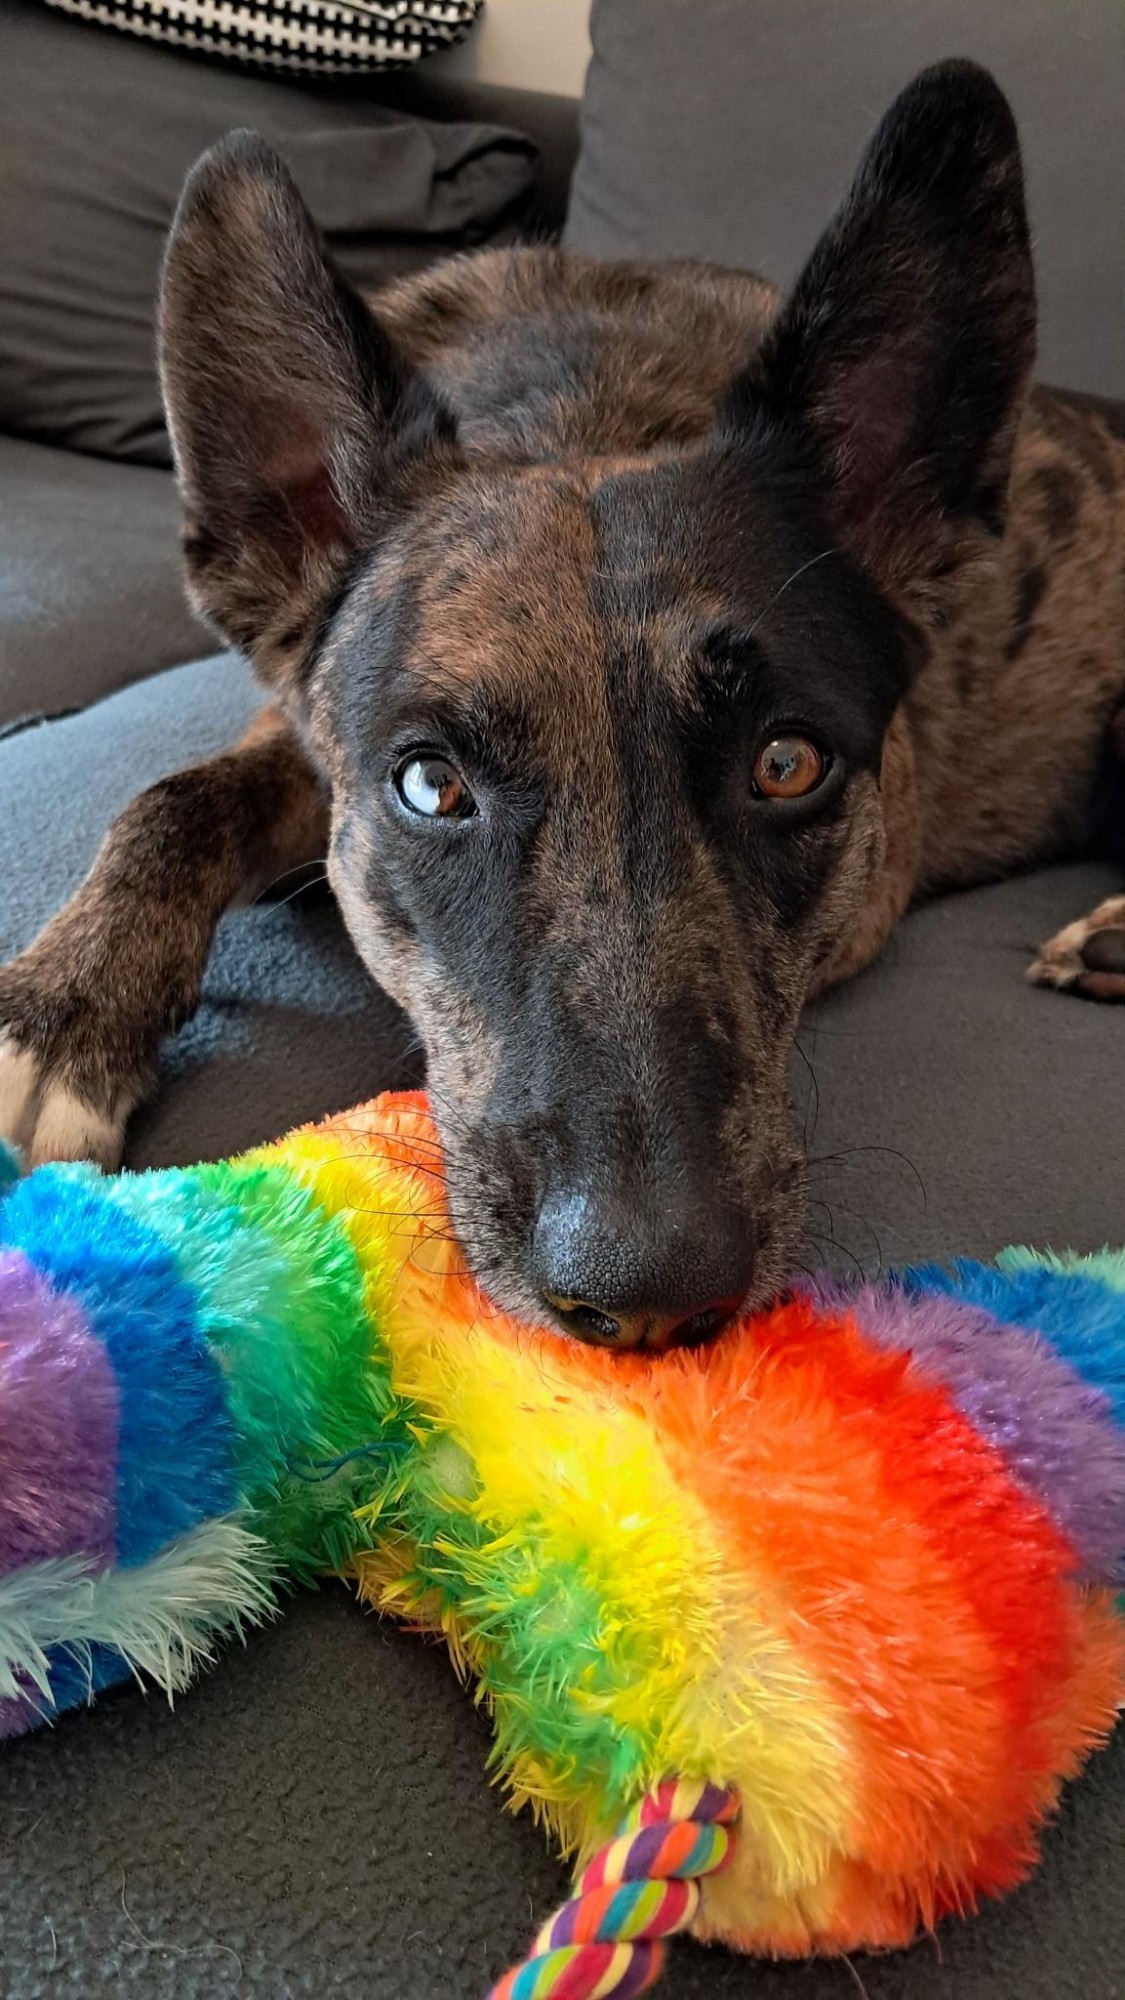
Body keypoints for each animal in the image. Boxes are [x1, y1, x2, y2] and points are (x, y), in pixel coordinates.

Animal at [2, 66, 1120, 1344]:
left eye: (786, 763)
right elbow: (174, 798)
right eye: (430, 784)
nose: (648, 1291)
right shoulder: (308, 747)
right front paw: (61, 1014)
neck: (590, 410)